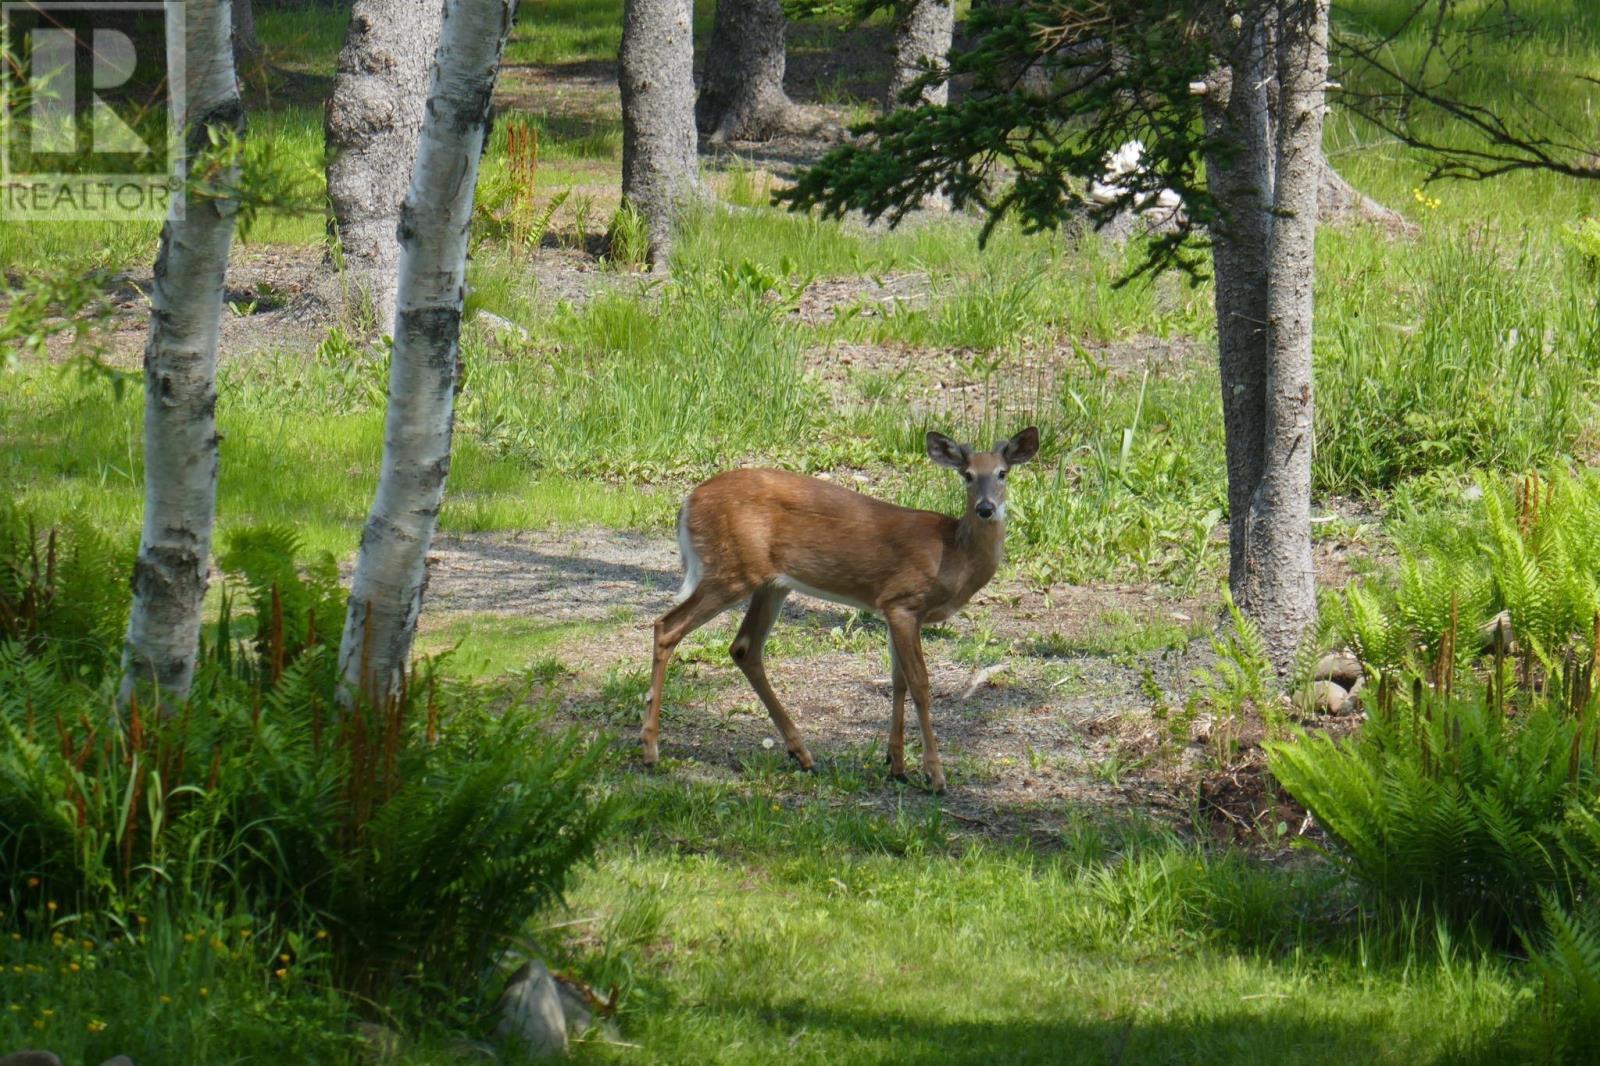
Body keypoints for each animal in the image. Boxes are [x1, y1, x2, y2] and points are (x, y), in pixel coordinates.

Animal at [643, 425, 1043, 787]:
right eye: (967, 475)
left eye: (1003, 473)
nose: (986, 508)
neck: (954, 553)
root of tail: (688, 502)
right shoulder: (905, 602)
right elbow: (920, 684)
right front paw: (935, 775)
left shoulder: (890, 609)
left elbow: (897, 680)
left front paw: (896, 764)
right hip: (731, 571)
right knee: (667, 627)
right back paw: (650, 749)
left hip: (770, 584)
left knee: (744, 648)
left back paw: (802, 753)